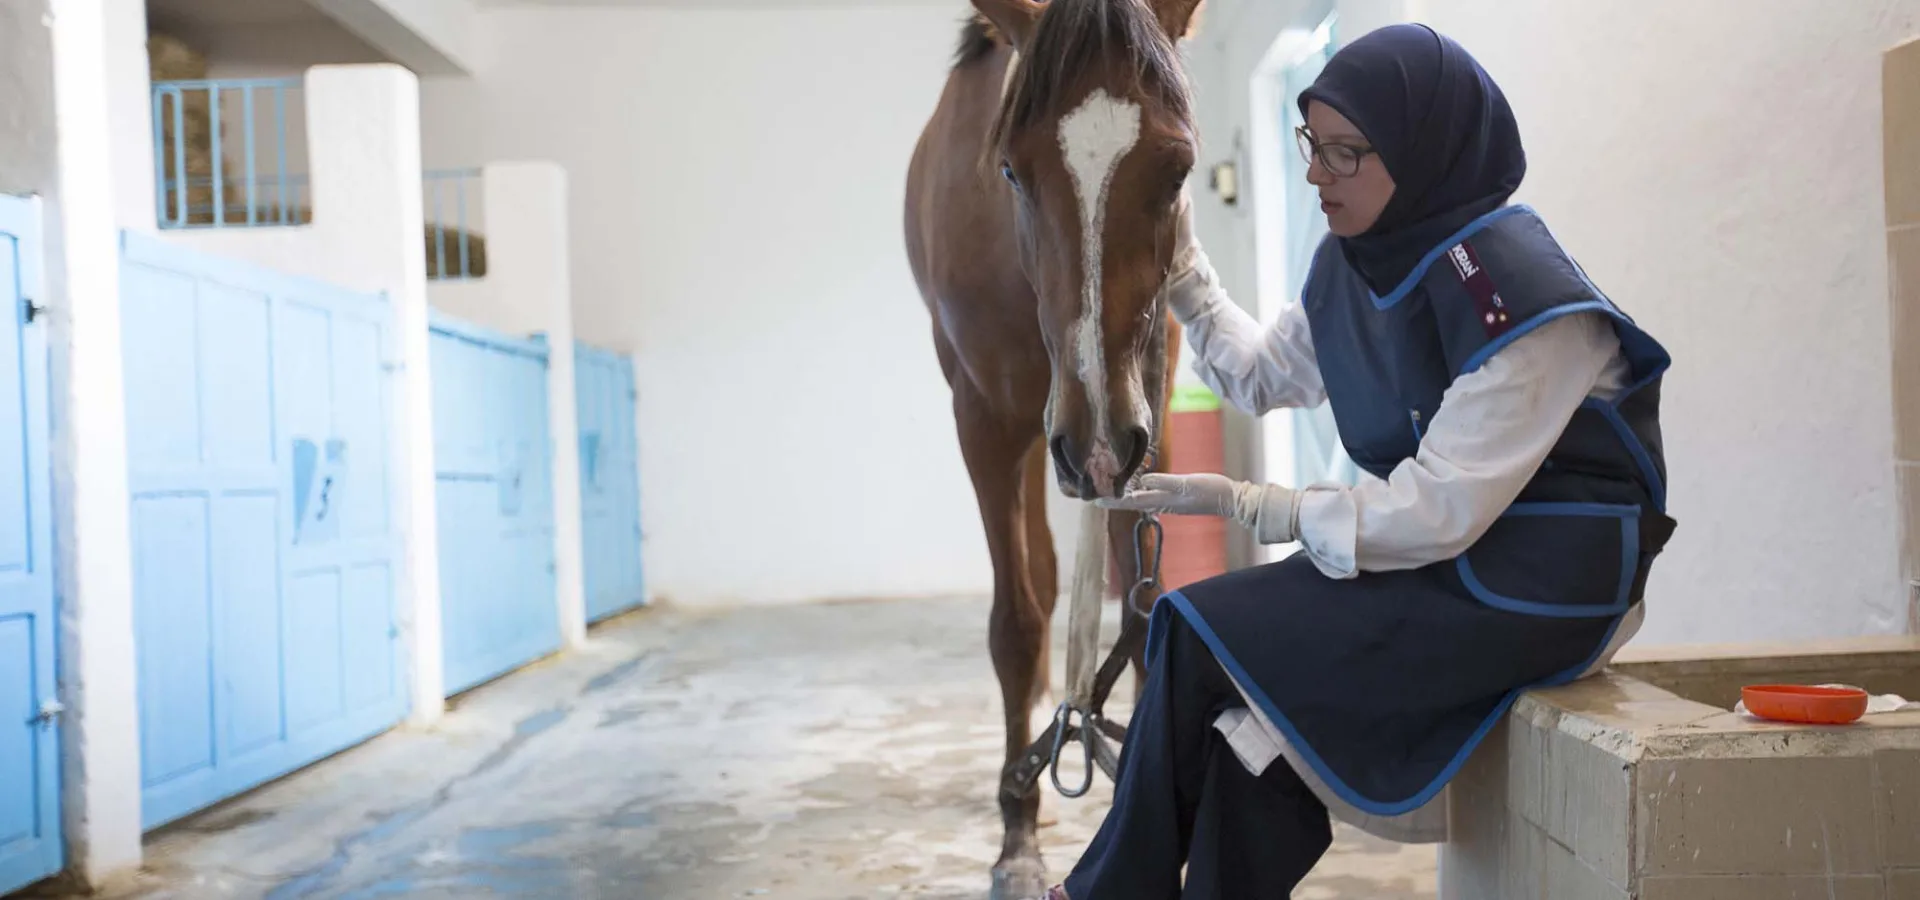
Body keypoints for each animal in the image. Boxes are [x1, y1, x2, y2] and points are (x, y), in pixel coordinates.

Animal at [903, 0, 1203, 893]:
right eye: (1010, 170)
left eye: (1179, 168)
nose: (1096, 441)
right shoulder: (987, 420)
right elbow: (1018, 621)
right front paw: (1018, 837)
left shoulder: (1145, 417)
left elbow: (1142, 608)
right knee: (1034, 568)